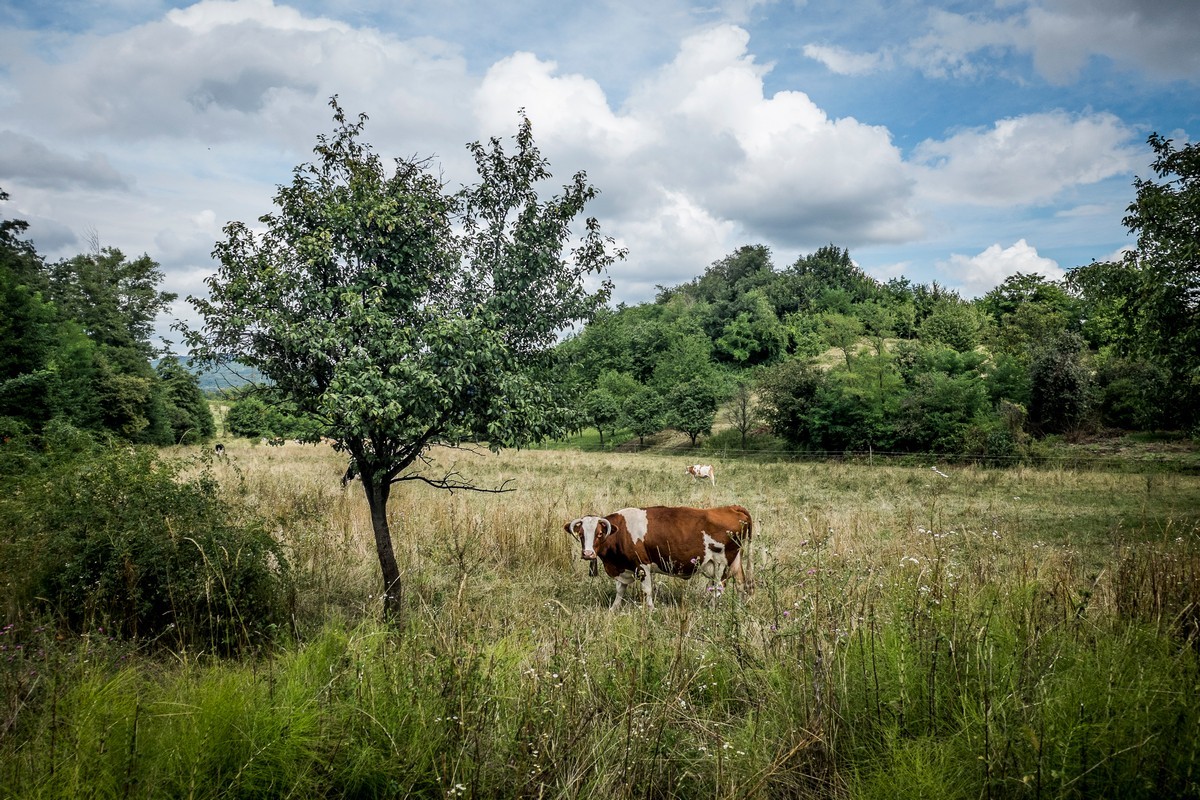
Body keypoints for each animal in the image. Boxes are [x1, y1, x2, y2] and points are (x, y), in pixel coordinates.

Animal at [564, 505, 752, 610]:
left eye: (600, 533)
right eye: (581, 534)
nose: (588, 554)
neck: (621, 532)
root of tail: (731, 507)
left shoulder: (642, 565)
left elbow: (647, 590)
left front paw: (650, 610)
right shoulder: (624, 568)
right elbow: (620, 590)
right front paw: (614, 609)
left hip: (721, 563)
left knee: (718, 587)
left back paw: (711, 609)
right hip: (735, 562)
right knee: (741, 584)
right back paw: (739, 608)